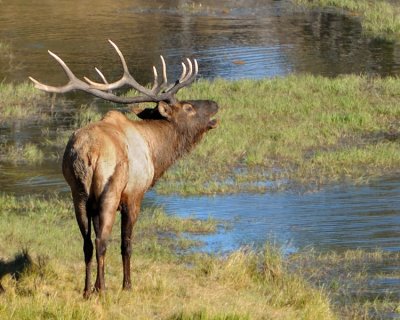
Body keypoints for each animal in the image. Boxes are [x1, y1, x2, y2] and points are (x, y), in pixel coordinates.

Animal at [29, 40, 219, 298]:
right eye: (188, 107)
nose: (215, 103)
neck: (155, 152)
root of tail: (88, 153)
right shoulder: (134, 195)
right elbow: (126, 243)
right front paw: (127, 284)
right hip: (109, 189)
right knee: (102, 242)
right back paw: (102, 289)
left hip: (78, 193)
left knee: (87, 243)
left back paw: (87, 290)